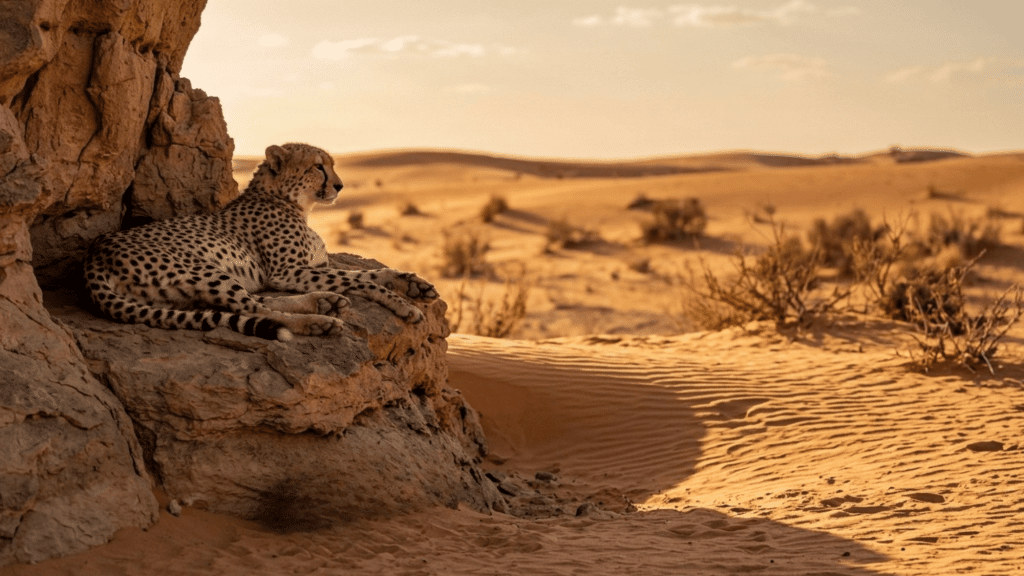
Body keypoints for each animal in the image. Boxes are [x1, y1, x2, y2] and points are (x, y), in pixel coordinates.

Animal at [82, 142, 438, 341]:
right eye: (318, 167)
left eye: (332, 165)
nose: (339, 186)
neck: (290, 201)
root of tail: (95, 253)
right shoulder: (287, 271)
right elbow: (362, 281)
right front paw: (404, 305)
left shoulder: (309, 267)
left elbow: (365, 274)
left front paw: (413, 284)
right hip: (203, 269)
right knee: (254, 307)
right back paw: (318, 321)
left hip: (178, 293)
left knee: (255, 302)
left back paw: (324, 301)